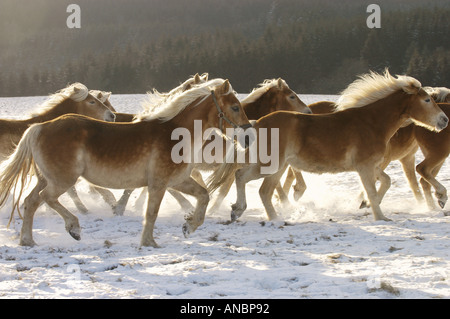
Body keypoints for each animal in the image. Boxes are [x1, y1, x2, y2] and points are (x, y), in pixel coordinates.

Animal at [0, 79, 250, 249]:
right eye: (235, 107)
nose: (248, 135)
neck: (173, 134)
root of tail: (39, 127)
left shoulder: (177, 181)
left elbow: (203, 196)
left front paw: (188, 226)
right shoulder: (159, 184)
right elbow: (151, 213)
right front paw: (149, 242)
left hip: (46, 179)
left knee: (30, 202)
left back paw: (28, 241)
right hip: (62, 180)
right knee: (45, 199)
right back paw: (73, 228)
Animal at [209, 71, 448, 224]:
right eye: (427, 100)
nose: (444, 120)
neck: (371, 122)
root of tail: (257, 123)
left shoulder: (370, 165)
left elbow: (386, 181)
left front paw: (367, 206)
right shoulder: (364, 167)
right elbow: (372, 191)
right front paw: (380, 216)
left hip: (275, 166)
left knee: (252, 184)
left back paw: (248, 213)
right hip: (272, 165)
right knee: (251, 183)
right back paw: (266, 216)